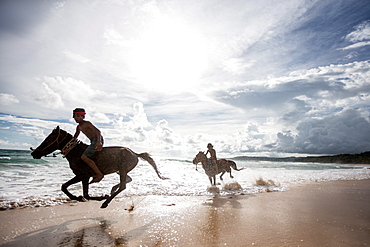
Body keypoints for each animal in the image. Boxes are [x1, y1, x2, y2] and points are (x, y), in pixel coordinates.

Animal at [31, 125, 167, 208]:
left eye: (48, 139)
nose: (34, 153)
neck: (76, 152)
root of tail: (135, 153)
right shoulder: (84, 177)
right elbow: (82, 193)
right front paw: (84, 197)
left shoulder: (82, 175)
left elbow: (65, 187)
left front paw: (83, 197)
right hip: (119, 170)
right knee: (128, 180)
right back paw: (111, 190)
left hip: (122, 169)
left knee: (123, 186)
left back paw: (106, 202)